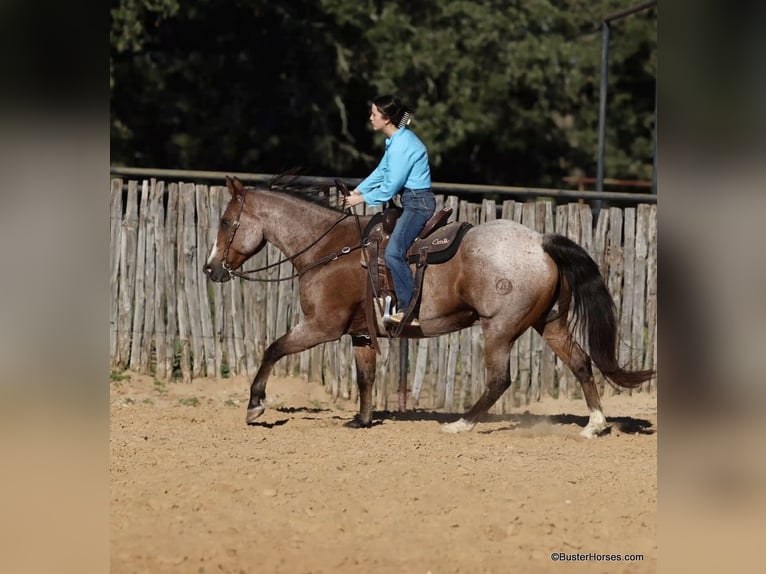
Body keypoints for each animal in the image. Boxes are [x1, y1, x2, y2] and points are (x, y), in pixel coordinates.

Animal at [203, 176, 654, 437]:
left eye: (226, 222)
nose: (210, 268)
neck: (331, 249)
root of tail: (540, 241)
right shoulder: (361, 332)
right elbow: (365, 375)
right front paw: (362, 420)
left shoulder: (321, 326)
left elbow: (273, 349)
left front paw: (255, 406)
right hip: (551, 322)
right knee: (580, 362)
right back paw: (595, 425)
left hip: (498, 328)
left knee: (499, 379)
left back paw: (461, 424)